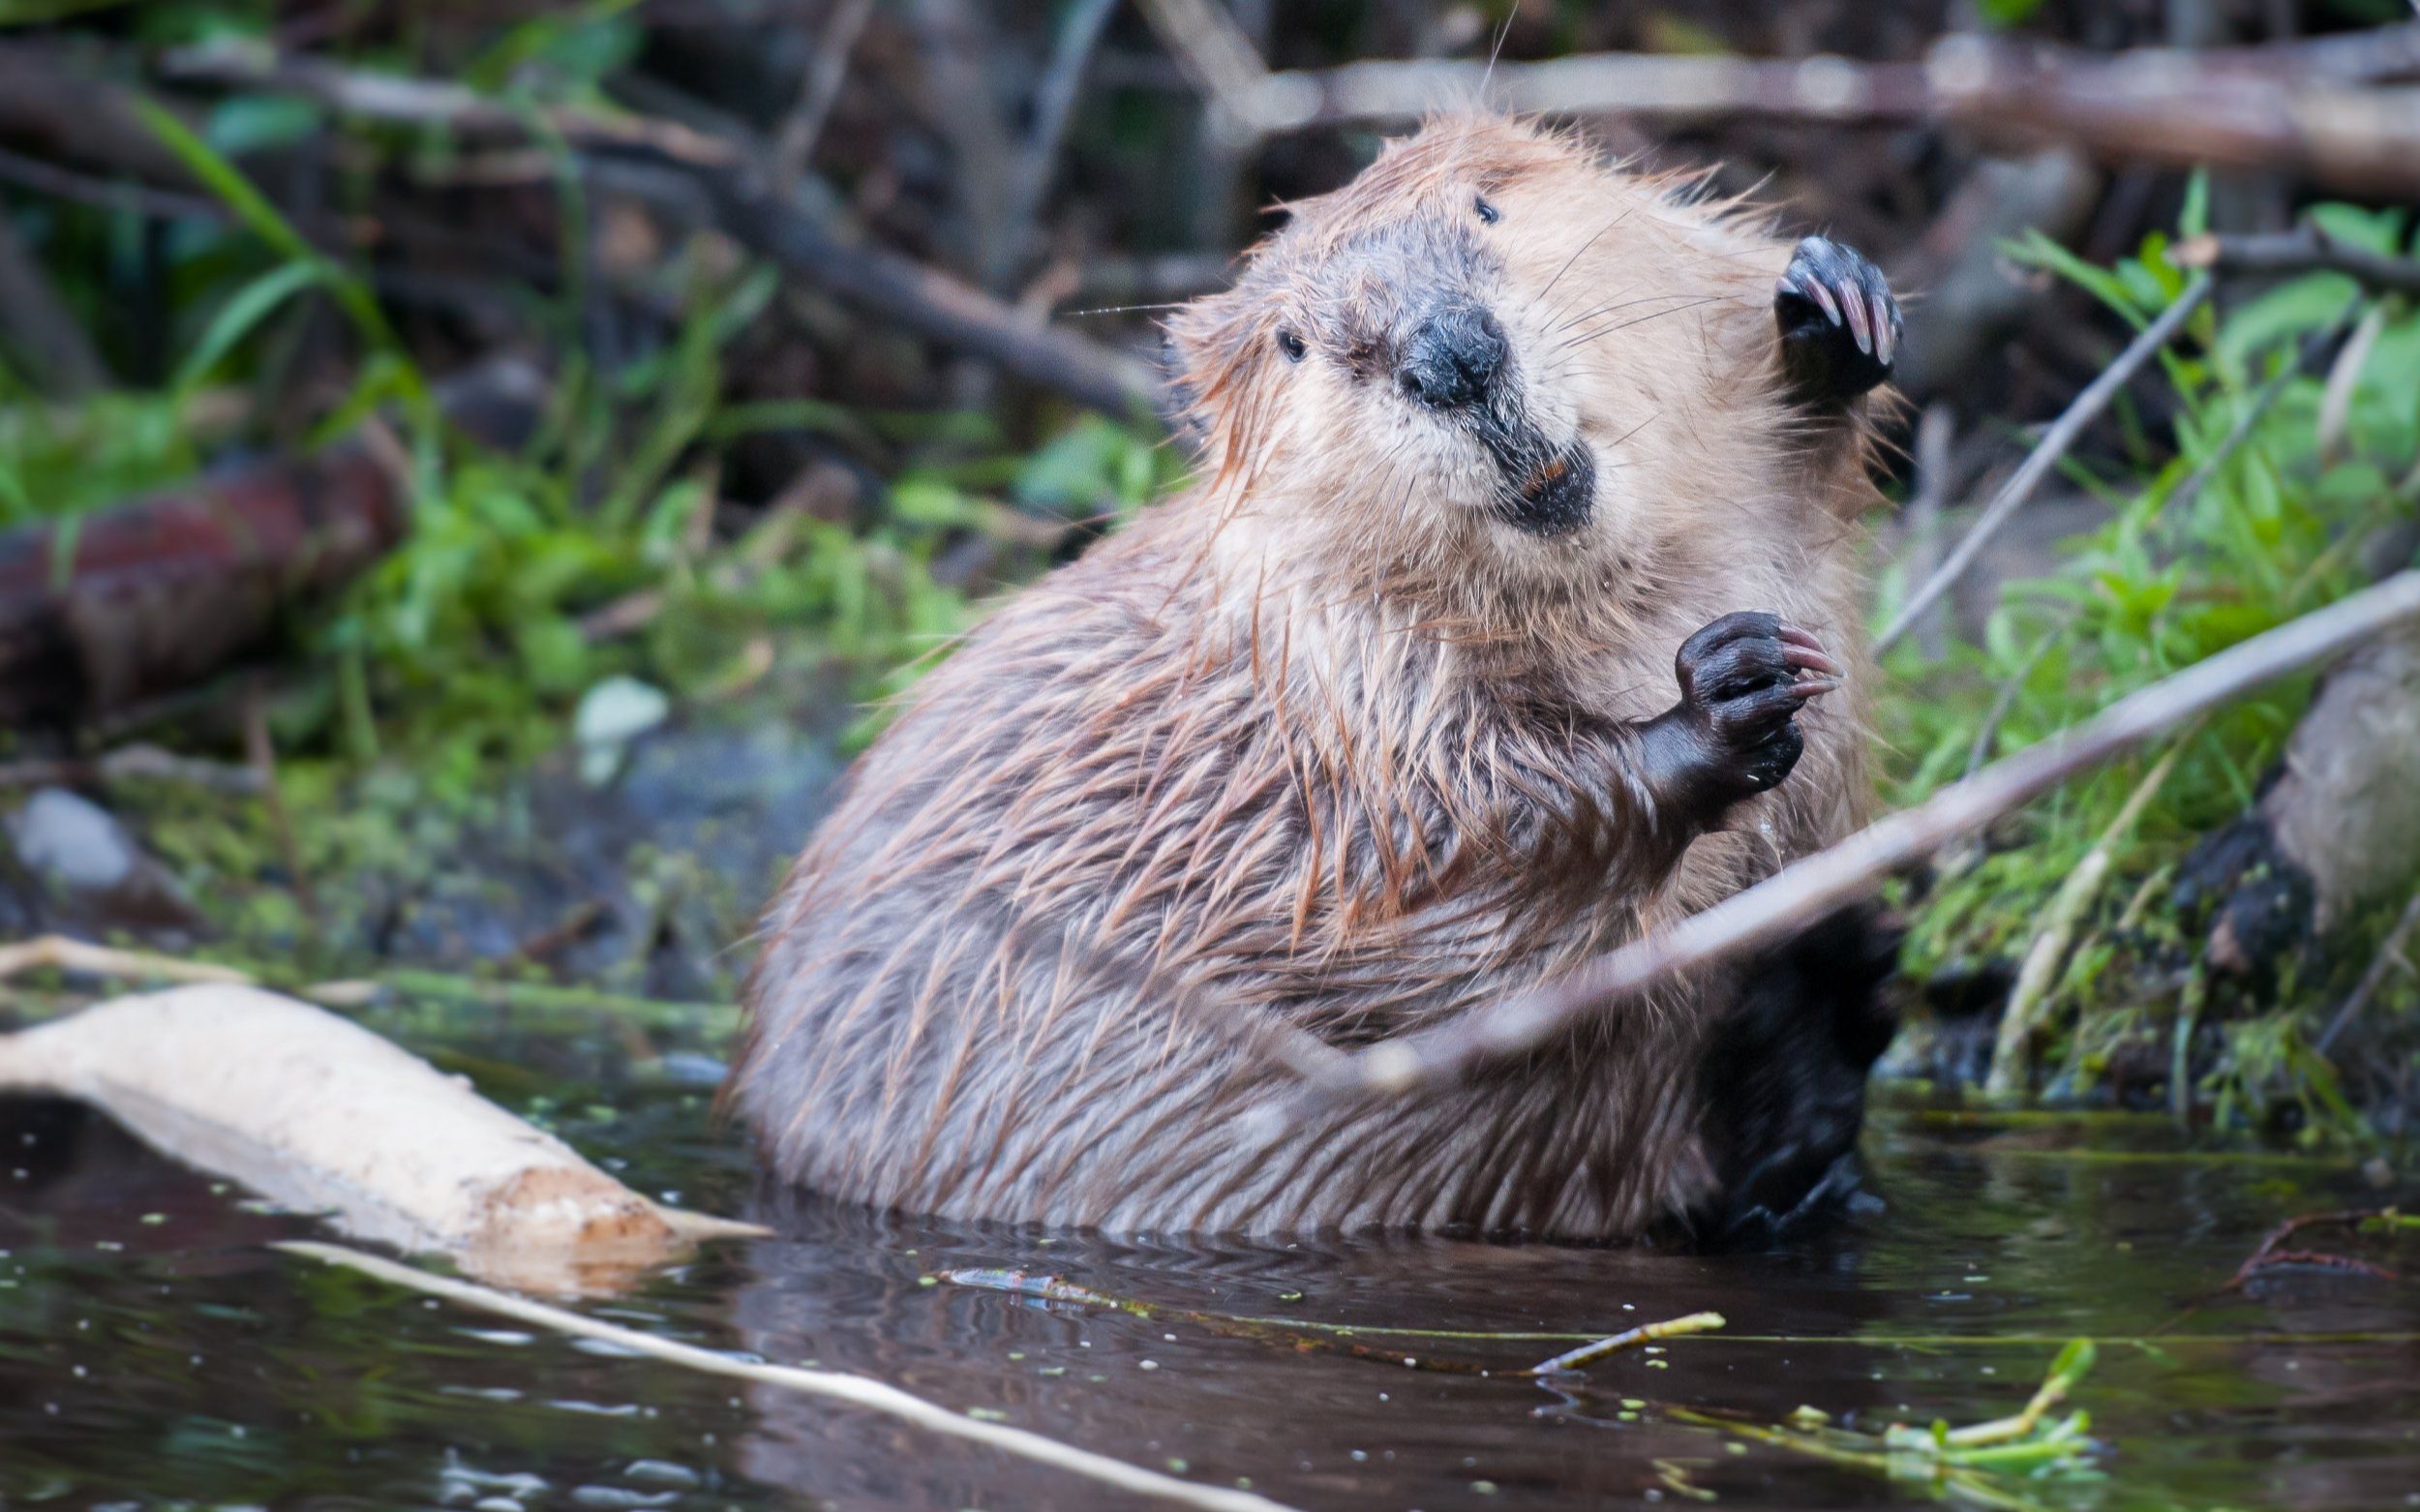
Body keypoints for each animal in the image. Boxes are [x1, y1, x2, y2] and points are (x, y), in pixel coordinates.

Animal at [726, 114, 1897, 1238]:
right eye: (1293, 342)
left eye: (1486, 205)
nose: (1452, 356)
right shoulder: (1332, 695)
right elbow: (1445, 901)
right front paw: (1724, 694)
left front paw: (1831, 308)